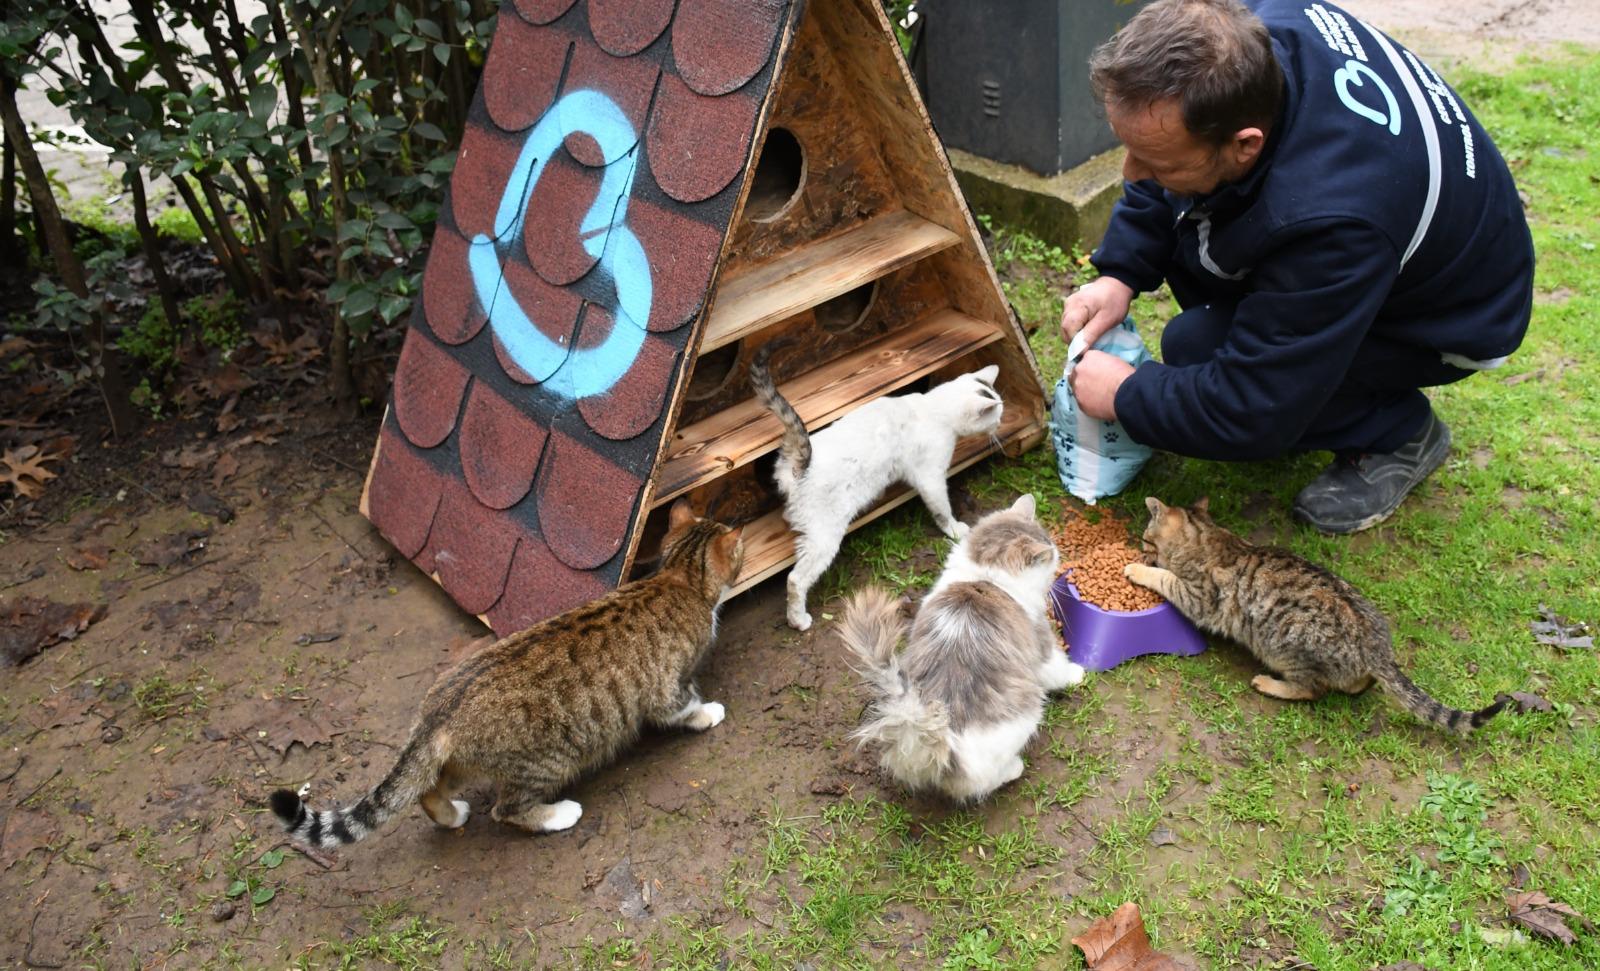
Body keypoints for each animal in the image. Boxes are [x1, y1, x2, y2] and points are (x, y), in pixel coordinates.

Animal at [272, 505, 745, 844]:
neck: (679, 577)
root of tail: (437, 714)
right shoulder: (667, 688)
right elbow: (685, 706)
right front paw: (708, 712)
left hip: (463, 760)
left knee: (427, 789)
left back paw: (452, 815)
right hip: (546, 761)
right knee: (507, 809)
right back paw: (558, 814)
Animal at [748, 345, 998, 633]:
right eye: (997, 416)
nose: (1000, 426)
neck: (932, 408)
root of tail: (803, 462)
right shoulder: (931, 477)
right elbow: (942, 509)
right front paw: (955, 529)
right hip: (824, 538)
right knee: (796, 579)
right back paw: (798, 620)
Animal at [838, 499, 1088, 803]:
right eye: (1051, 558)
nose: (1058, 560)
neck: (985, 578)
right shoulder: (1042, 646)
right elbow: (1058, 668)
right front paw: (1078, 673)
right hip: (1028, 714)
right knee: (987, 781)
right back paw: (1015, 768)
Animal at [1120, 502, 1504, 735]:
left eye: (1146, 538)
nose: (1140, 547)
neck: (1210, 537)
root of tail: (1377, 650)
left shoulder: (1198, 597)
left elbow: (1166, 577)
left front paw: (1139, 568)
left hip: (1286, 649)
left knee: (1312, 689)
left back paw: (1269, 684)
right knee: (1357, 684)